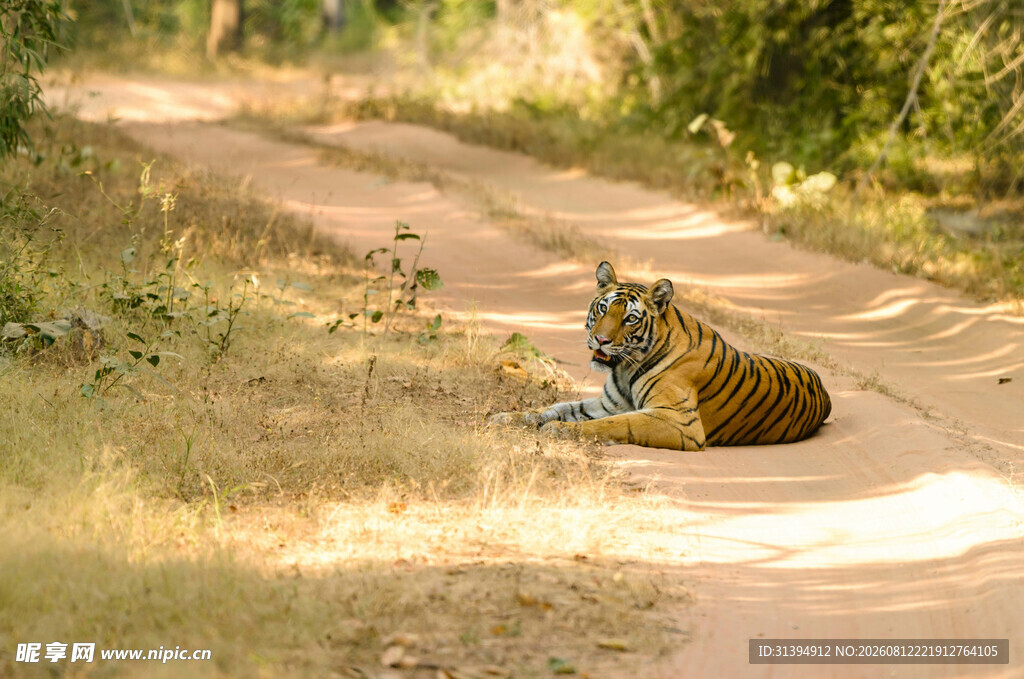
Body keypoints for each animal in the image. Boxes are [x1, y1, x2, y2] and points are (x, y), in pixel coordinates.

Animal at [490, 262, 831, 450]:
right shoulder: (609, 404)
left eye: (630, 318)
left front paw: (560, 431)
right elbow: (557, 407)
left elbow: (615, 425)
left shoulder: (679, 422)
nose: (600, 340)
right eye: (603, 308)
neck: (624, 368)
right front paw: (508, 417)